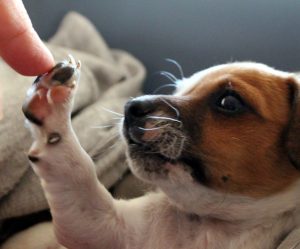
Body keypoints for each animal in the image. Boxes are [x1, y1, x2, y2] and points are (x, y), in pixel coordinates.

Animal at [18, 58, 300, 249]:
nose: (131, 106)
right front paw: (51, 100)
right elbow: (76, 168)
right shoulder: (98, 225)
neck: (209, 223)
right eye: (178, 90)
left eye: (229, 102)